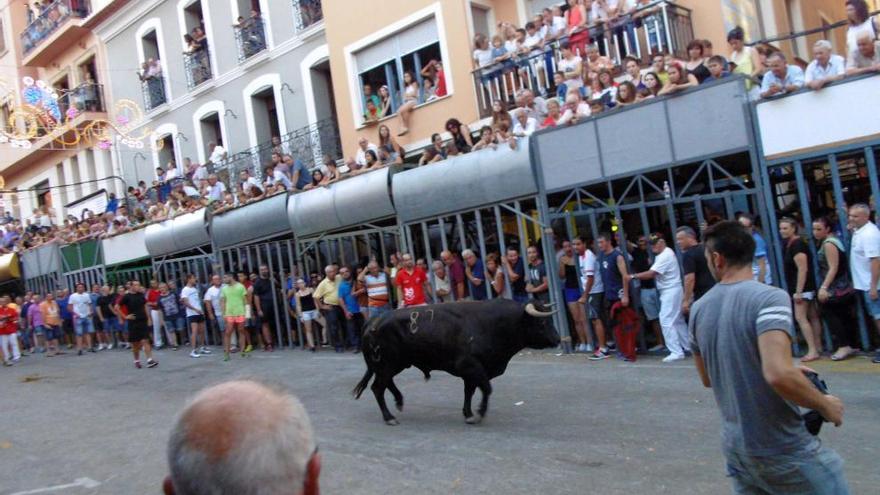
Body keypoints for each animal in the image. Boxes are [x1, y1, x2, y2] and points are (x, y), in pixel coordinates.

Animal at [350, 298, 556, 426]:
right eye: (542, 323)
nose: (557, 338)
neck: (492, 323)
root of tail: (375, 319)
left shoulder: (471, 372)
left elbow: (470, 391)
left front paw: (468, 413)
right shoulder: (470, 366)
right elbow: (486, 388)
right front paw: (479, 414)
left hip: (394, 364)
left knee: (387, 384)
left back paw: (399, 401)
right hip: (387, 364)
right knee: (378, 388)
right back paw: (389, 417)